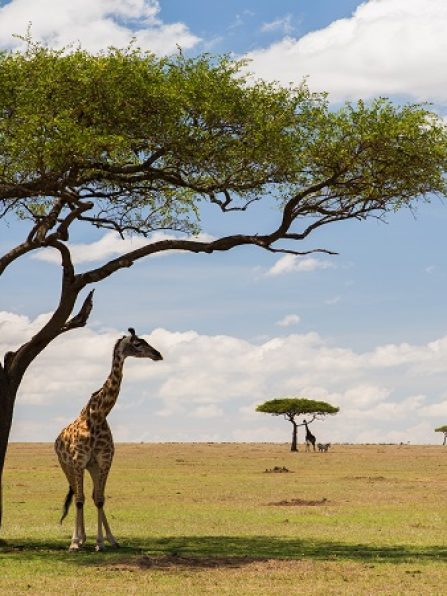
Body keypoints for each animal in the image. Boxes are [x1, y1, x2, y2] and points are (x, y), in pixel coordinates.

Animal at [54, 328, 163, 552]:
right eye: (138, 343)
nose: (158, 354)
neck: (98, 415)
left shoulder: (104, 460)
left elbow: (100, 499)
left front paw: (102, 542)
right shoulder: (78, 461)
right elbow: (79, 500)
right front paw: (74, 543)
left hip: (92, 467)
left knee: (92, 495)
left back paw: (104, 539)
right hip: (66, 466)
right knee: (78, 495)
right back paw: (79, 538)